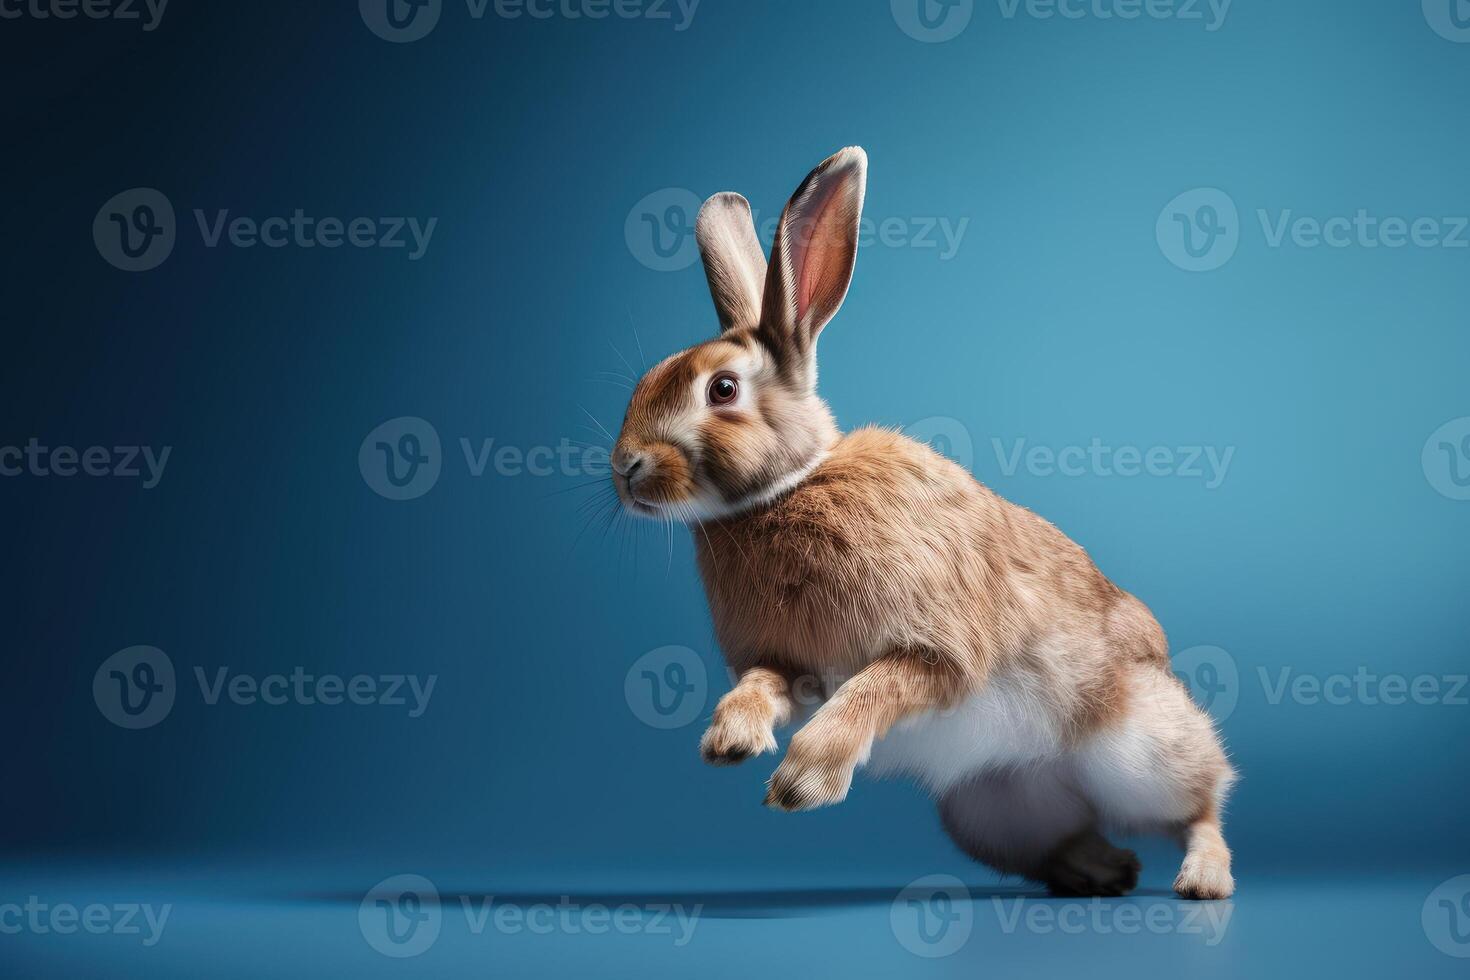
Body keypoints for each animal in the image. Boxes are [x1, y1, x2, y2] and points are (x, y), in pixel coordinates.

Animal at [614, 143, 1234, 899]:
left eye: (723, 389)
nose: (625, 468)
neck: (784, 493)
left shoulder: (937, 652)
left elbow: (875, 689)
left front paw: (803, 780)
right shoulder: (790, 665)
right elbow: (764, 685)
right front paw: (731, 739)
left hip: (1146, 752)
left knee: (1204, 802)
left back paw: (1201, 879)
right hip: (992, 811)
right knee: (1060, 839)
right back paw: (1105, 869)